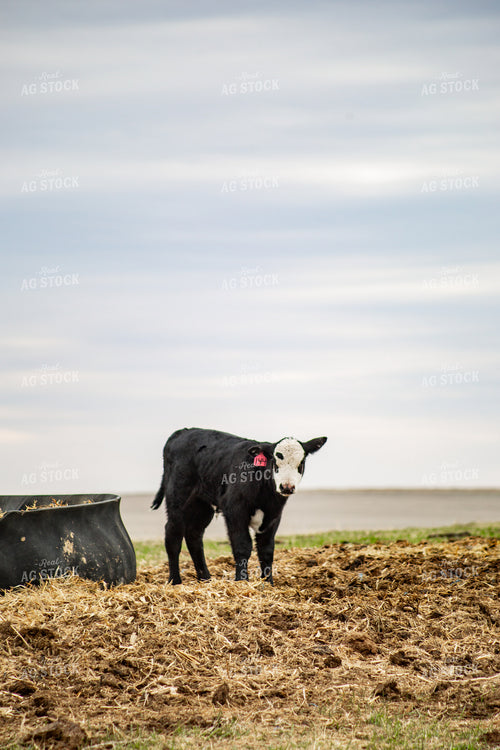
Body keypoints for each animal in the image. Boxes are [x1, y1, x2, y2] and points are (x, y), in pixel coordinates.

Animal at [151, 427, 327, 585]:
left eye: (301, 462)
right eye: (275, 461)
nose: (287, 487)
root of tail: (183, 431)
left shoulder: (273, 516)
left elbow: (266, 550)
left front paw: (268, 583)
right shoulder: (235, 510)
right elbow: (242, 545)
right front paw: (242, 581)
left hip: (202, 506)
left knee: (194, 535)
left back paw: (205, 578)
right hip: (178, 498)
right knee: (173, 534)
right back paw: (175, 581)